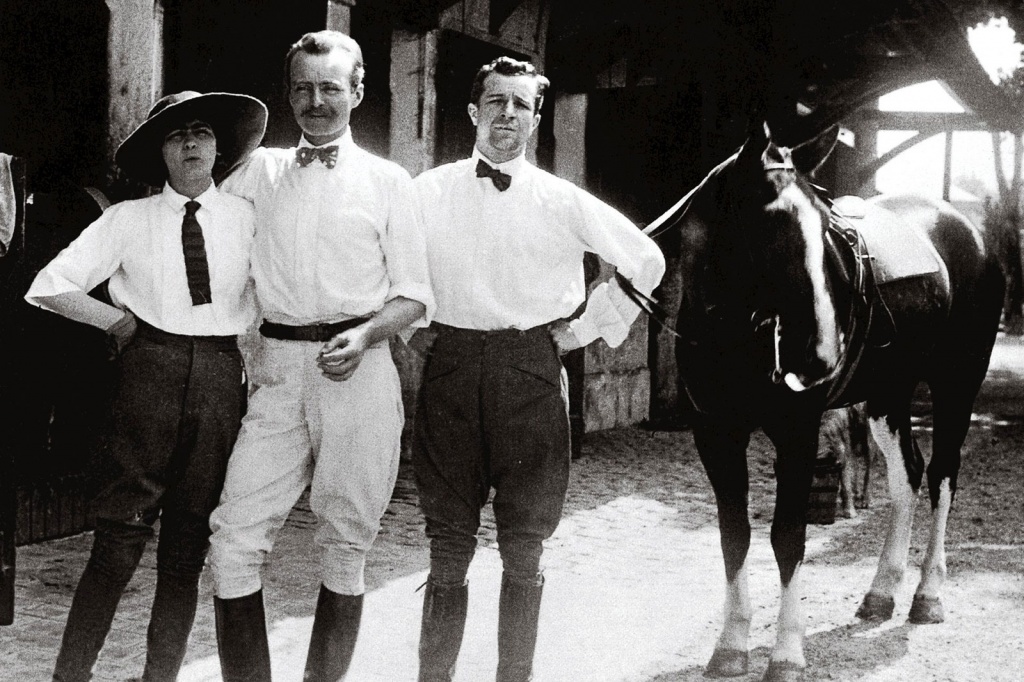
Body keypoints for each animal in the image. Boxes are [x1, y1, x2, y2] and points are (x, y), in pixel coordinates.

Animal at [643, 123, 1003, 679]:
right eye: (771, 224)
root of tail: (971, 230)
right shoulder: (716, 432)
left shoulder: (798, 430)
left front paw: (787, 654)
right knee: (908, 473)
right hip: (887, 394)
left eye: (822, 226)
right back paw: (880, 594)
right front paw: (731, 646)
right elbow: (734, 535)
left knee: (943, 476)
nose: (819, 355)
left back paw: (928, 596)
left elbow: (788, 535)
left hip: (956, 383)